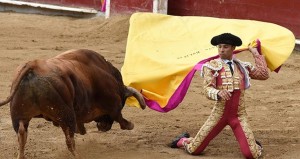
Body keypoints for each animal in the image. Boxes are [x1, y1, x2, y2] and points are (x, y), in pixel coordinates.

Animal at [0, 49, 146, 158]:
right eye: (123, 101)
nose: (103, 127)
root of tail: (34, 65)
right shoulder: (113, 103)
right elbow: (119, 116)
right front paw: (130, 125)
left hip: (19, 114)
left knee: (21, 134)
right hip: (65, 115)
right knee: (69, 140)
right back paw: (78, 155)